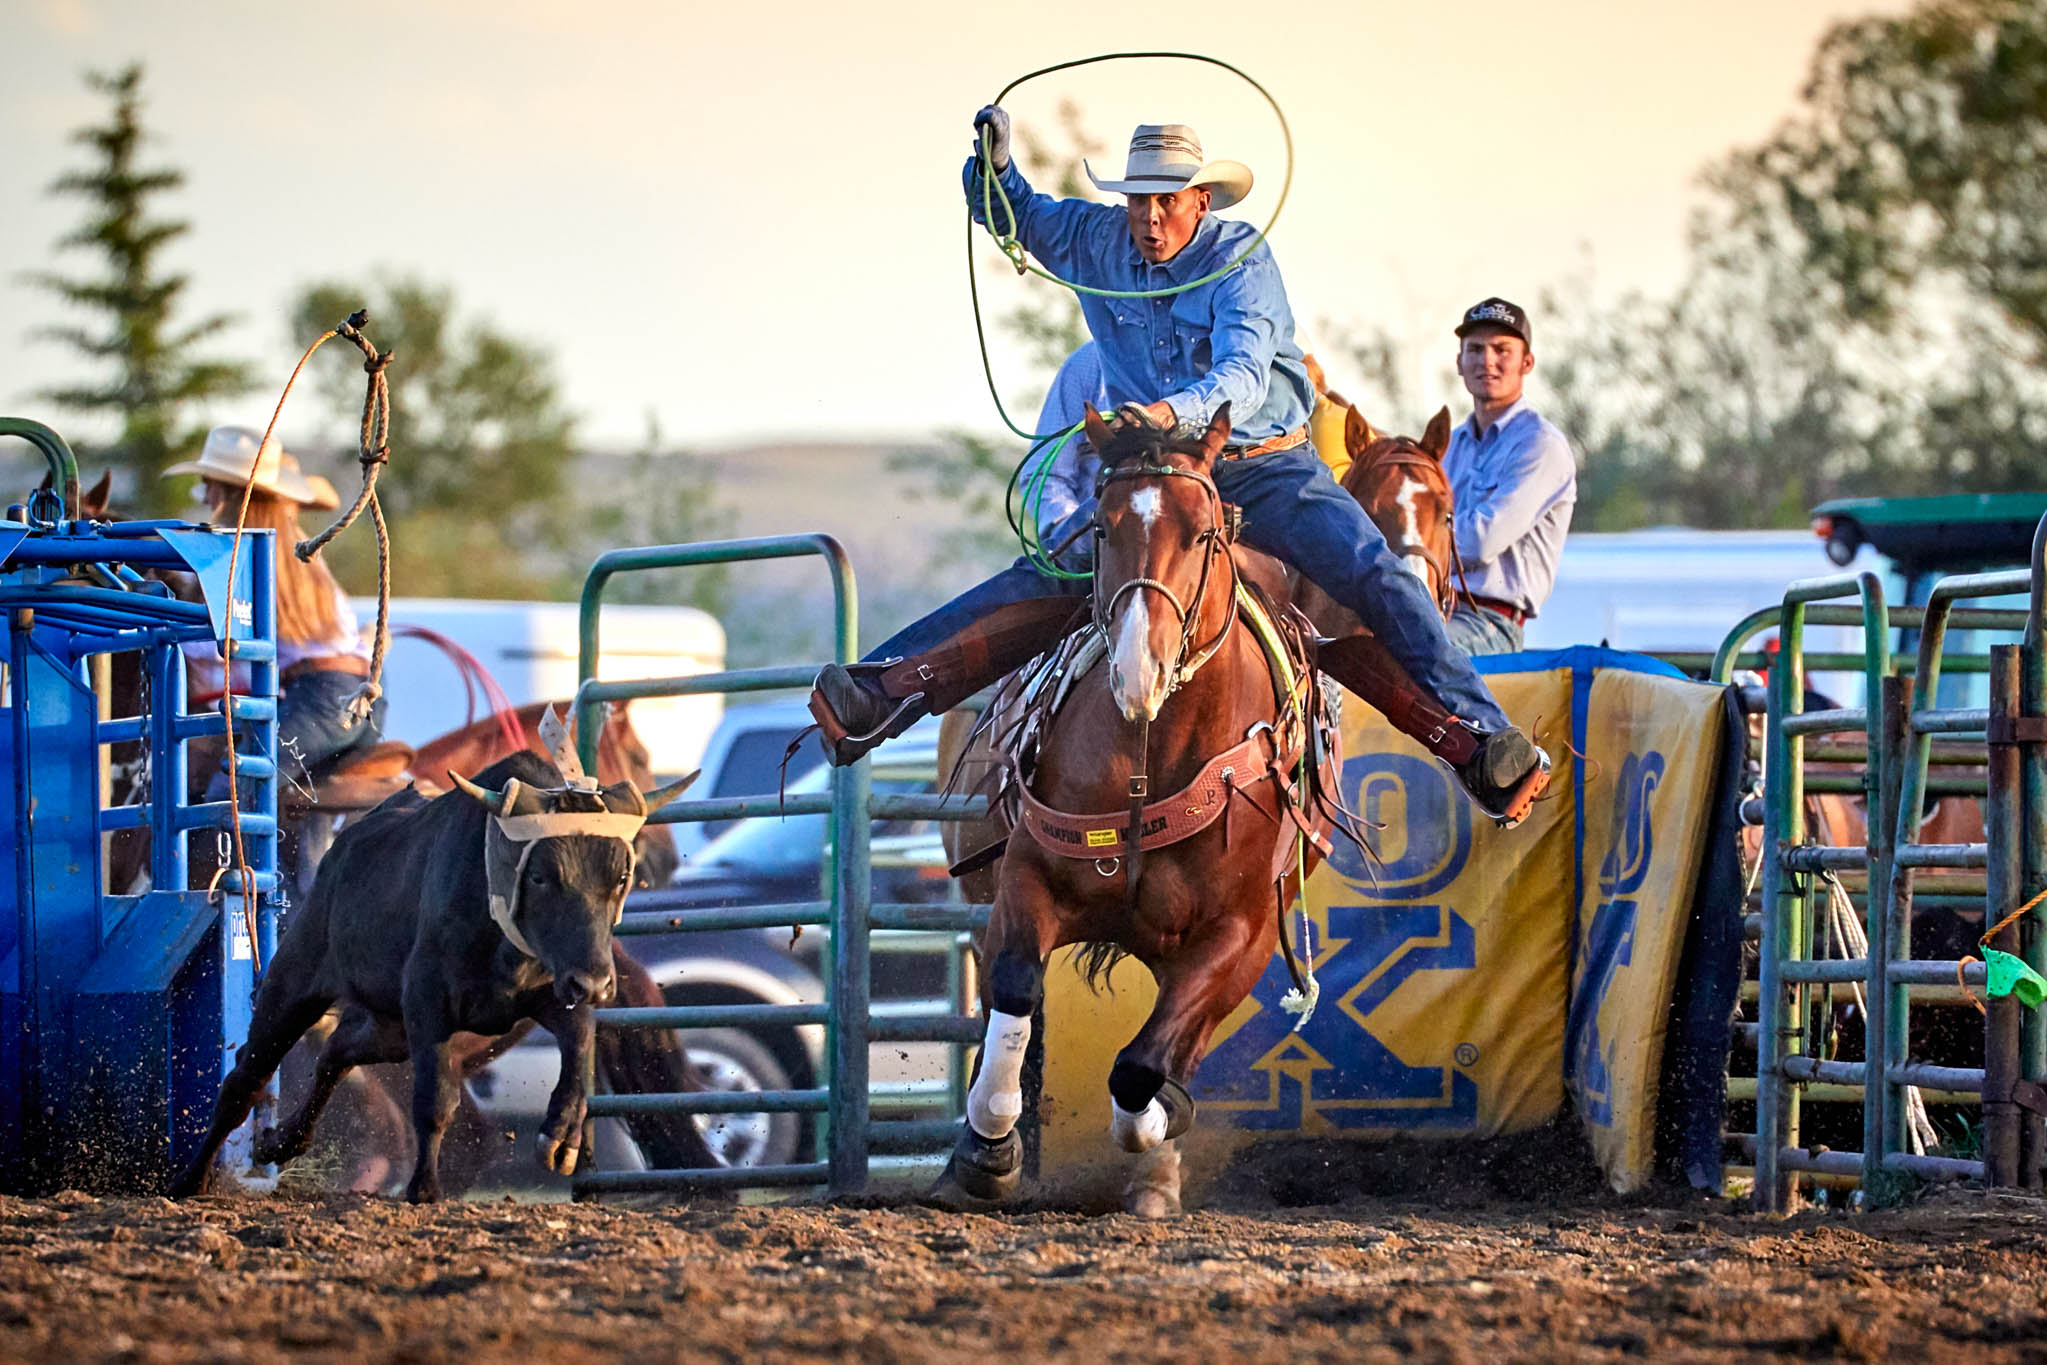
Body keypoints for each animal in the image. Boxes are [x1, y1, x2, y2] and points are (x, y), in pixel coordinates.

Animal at [937, 403, 1334, 1219]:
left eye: (1205, 532)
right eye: (1100, 527)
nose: (1137, 667)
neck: (1154, 755)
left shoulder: (1236, 933)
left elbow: (1143, 1067)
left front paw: (1159, 1126)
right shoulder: (1025, 875)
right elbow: (1017, 988)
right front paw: (988, 1149)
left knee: (1176, 1044)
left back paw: (1156, 1171)